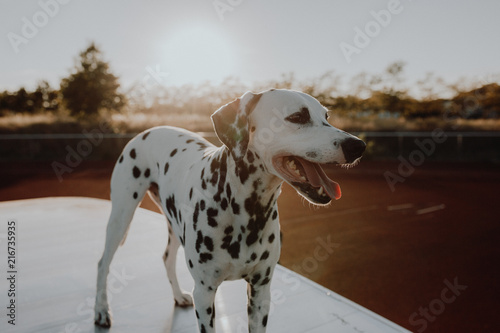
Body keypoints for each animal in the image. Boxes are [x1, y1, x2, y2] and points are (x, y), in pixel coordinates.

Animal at [94, 87, 368, 330]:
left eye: (326, 116)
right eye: (297, 117)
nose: (358, 146)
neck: (247, 210)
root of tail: (150, 129)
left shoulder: (261, 292)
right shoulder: (204, 294)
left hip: (173, 224)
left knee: (166, 257)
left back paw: (177, 295)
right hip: (121, 216)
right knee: (103, 263)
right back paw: (101, 311)